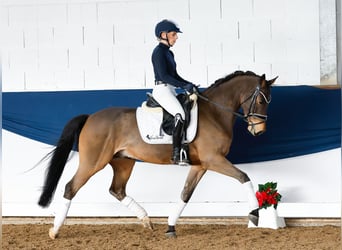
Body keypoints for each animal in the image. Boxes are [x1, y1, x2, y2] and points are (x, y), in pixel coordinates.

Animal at [37, 70, 278, 238]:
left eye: (269, 101)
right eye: (260, 100)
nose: (259, 131)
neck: (215, 113)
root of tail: (90, 117)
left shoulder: (200, 165)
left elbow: (185, 194)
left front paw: (170, 227)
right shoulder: (214, 160)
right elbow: (244, 177)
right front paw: (255, 214)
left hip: (123, 162)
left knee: (117, 190)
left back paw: (146, 220)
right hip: (93, 162)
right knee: (71, 187)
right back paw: (55, 231)